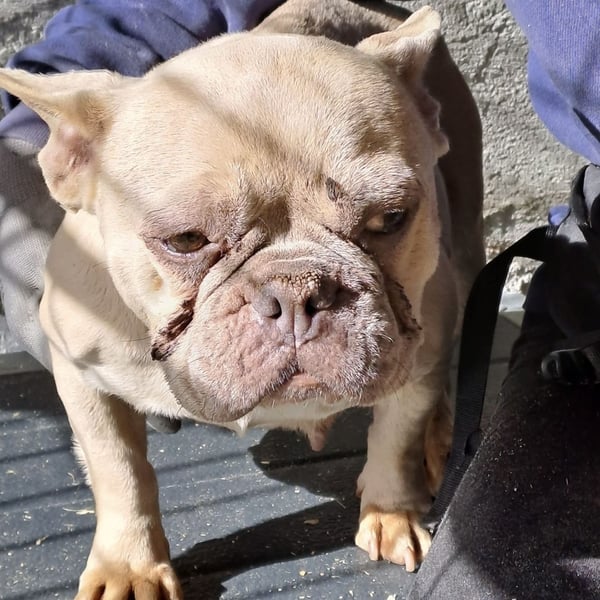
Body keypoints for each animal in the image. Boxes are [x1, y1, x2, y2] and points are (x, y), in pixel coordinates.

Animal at [0, 1, 483, 597]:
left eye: (390, 218)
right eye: (186, 240)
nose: (298, 293)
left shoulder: (417, 350)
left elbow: (397, 434)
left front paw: (392, 512)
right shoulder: (80, 375)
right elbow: (119, 472)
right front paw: (128, 566)